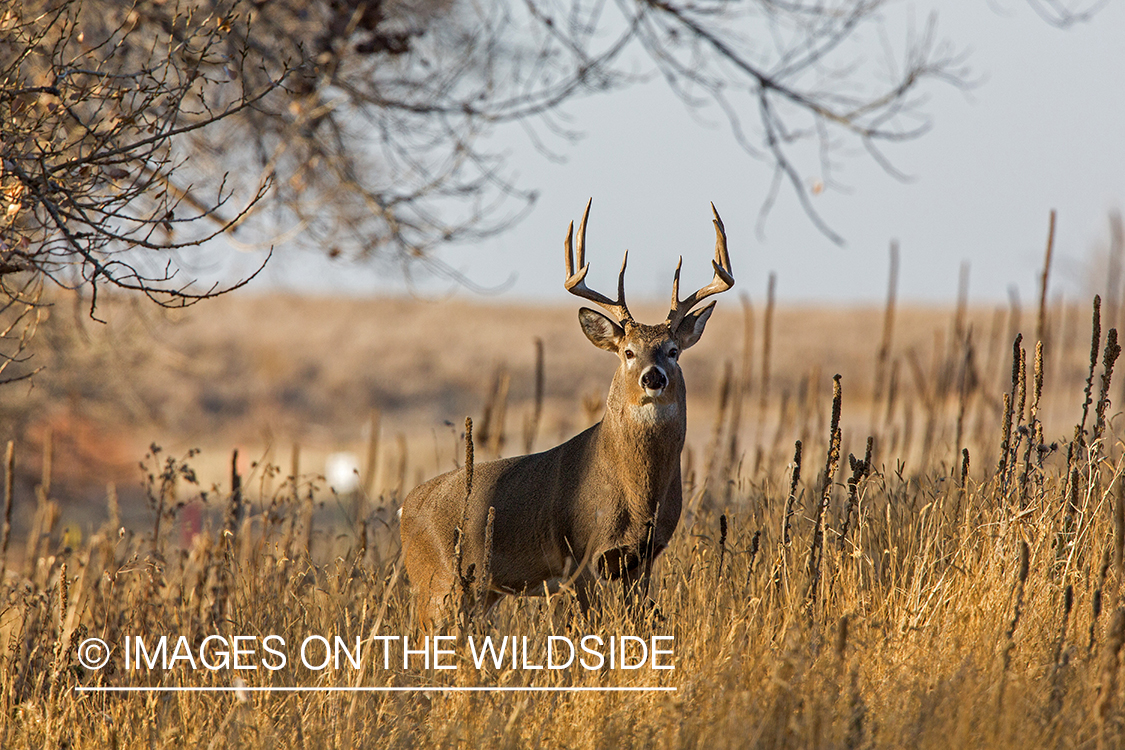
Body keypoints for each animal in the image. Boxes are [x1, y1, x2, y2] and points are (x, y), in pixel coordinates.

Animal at [400, 199, 733, 629]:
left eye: (673, 351)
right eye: (628, 352)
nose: (653, 377)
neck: (636, 494)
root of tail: (406, 507)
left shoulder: (643, 559)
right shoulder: (579, 556)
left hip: (480, 591)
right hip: (435, 583)